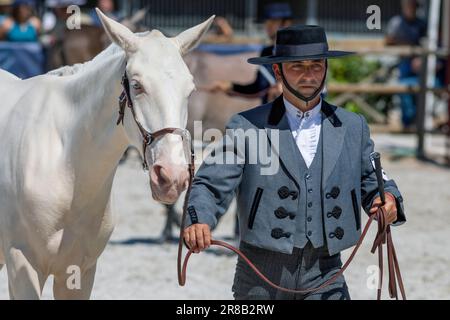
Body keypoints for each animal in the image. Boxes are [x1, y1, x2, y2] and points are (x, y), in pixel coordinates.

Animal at [0, 10, 214, 300]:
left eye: (190, 90)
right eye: (136, 85)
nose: (171, 177)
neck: (66, 166)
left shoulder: (80, 272)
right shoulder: (23, 267)